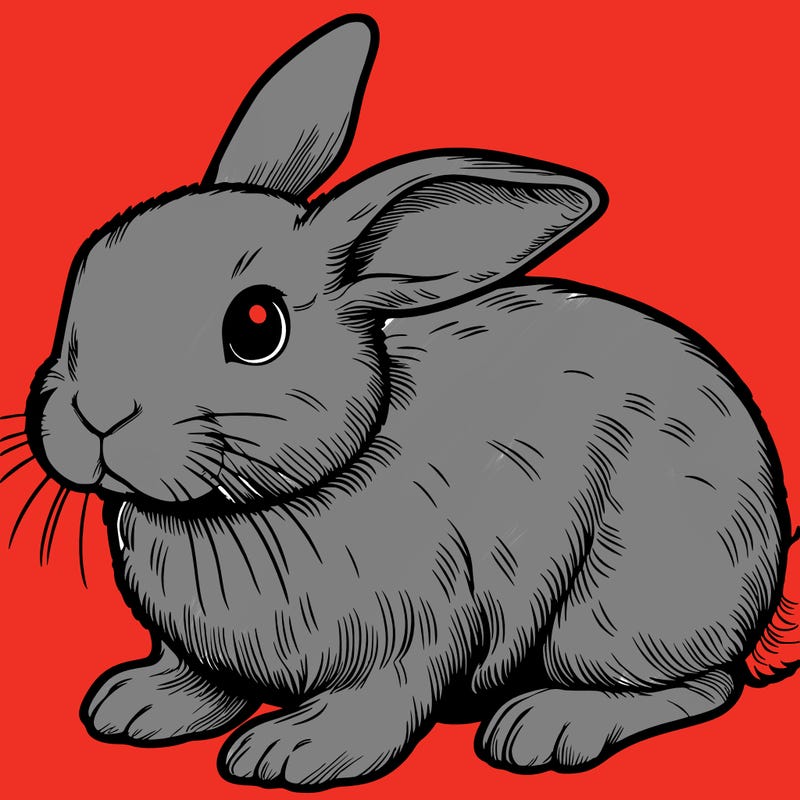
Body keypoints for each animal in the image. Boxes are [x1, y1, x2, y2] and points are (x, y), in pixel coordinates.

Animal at [18, 12, 798, 792]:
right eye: (88, 265)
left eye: (256, 326)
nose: (97, 413)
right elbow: (200, 680)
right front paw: (135, 705)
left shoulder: (417, 629)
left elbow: (381, 700)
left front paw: (292, 752)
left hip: (620, 606)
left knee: (703, 683)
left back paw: (545, 725)